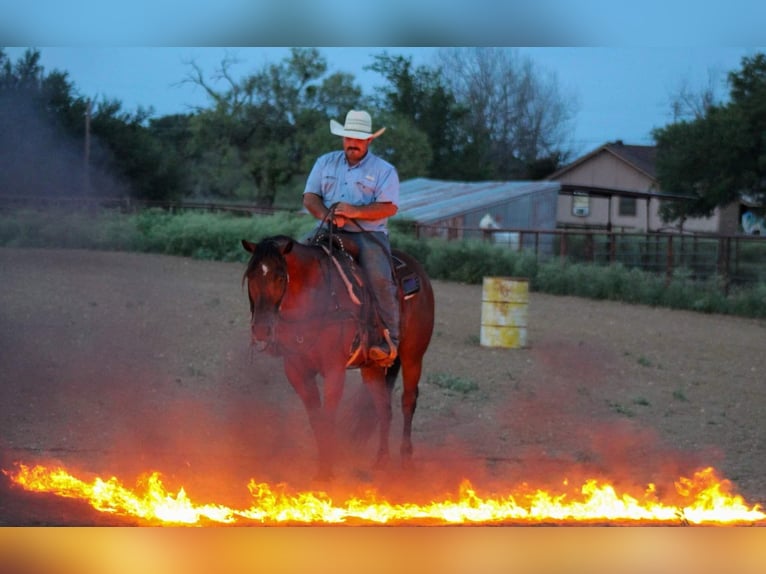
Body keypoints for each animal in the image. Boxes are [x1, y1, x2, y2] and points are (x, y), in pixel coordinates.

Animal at [242, 234, 432, 482]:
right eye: (250, 275)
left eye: (280, 276)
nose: (262, 329)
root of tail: (418, 270)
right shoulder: (296, 370)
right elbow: (317, 420)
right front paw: (324, 467)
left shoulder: (334, 370)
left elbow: (329, 417)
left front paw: (326, 472)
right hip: (370, 367)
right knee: (383, 407)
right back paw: (381, 460)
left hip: (413, 357)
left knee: (408, 402)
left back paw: (406, 459)